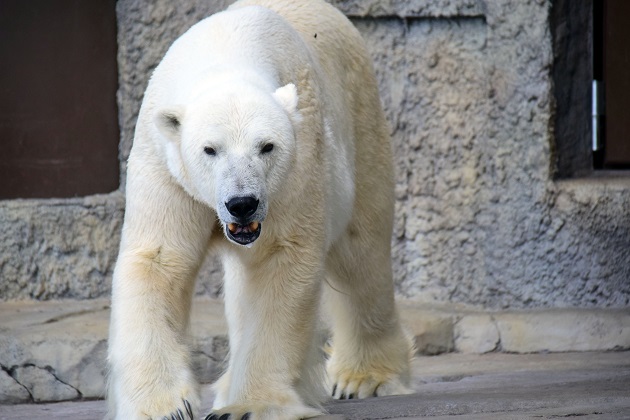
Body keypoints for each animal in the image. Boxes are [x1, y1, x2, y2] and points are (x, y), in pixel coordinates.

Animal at [108, 0, 414, 418]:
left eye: (267, 146)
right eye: (209, 149)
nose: (242, 204)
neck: (226, 53)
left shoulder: (296, 166)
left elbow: (280, 260)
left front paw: (249, 406)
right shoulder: (165, 165)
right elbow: (159, 259)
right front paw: (166, 407)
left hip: (360, 118)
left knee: (362, 251)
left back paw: (363, 377)